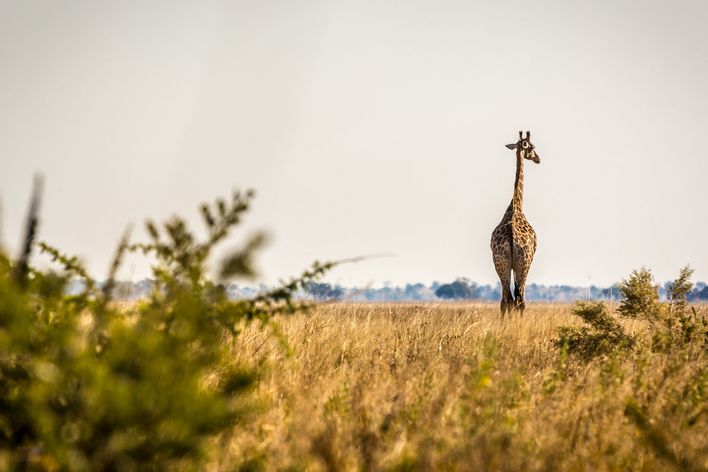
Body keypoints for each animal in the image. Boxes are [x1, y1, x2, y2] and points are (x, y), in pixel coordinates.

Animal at [490, 131, 541, 318]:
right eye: (532, 146)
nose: (538, 158)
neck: (516, 206)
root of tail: (512, 235)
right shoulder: (528, 259)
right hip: (524, 262)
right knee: (519, 299)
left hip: (500, 262)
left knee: (506, 299)